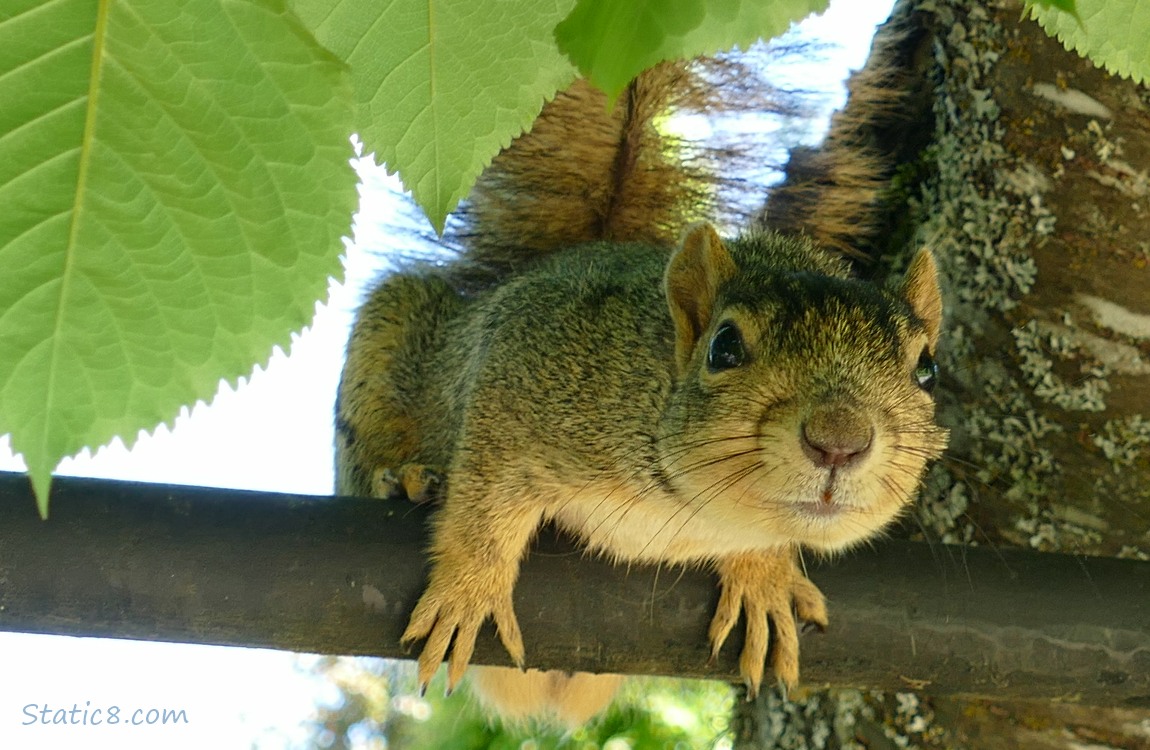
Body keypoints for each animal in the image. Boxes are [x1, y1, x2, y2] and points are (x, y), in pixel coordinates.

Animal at [335, 19, 947, 728]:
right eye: (724, 347)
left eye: (927, 367)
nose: (840, 441)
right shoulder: (522, 372)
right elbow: (485, 505)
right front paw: (469, 589)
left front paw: (764, 578)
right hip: (388, 341)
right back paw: (402, 474)